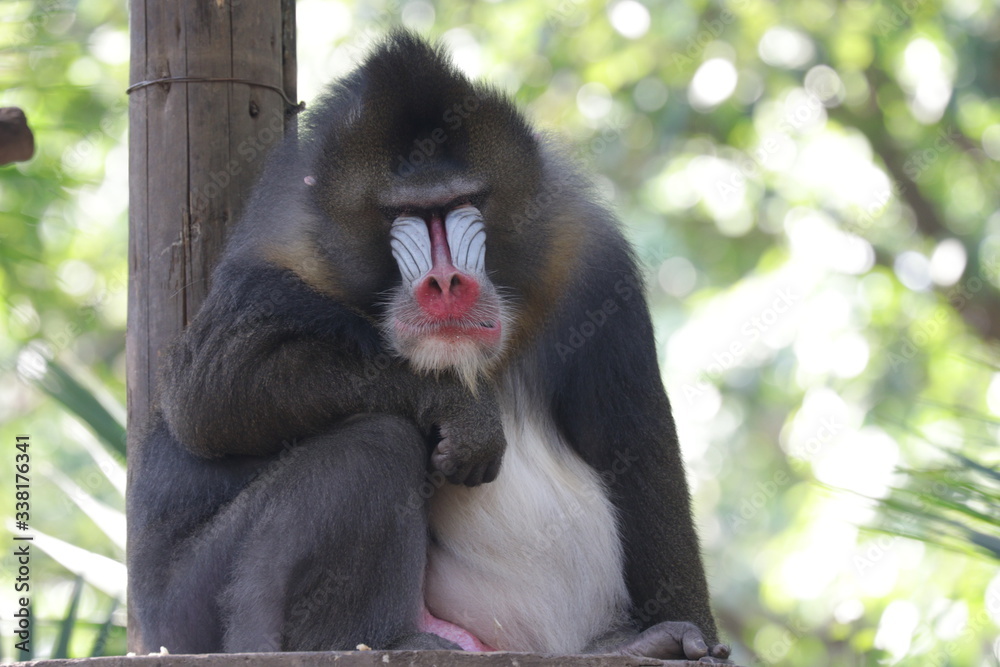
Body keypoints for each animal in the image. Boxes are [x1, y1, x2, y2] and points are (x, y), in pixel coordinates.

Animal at [126, 32, 731, 663]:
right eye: (405, 214)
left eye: (462, 202)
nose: (446, 284)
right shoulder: (275, 264)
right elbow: (207, 394)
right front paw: (464, 413)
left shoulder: (588, 257)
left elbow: (633, 442)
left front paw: (686, 634)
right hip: (197, 611)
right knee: (377, 442)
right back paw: (370, 640)